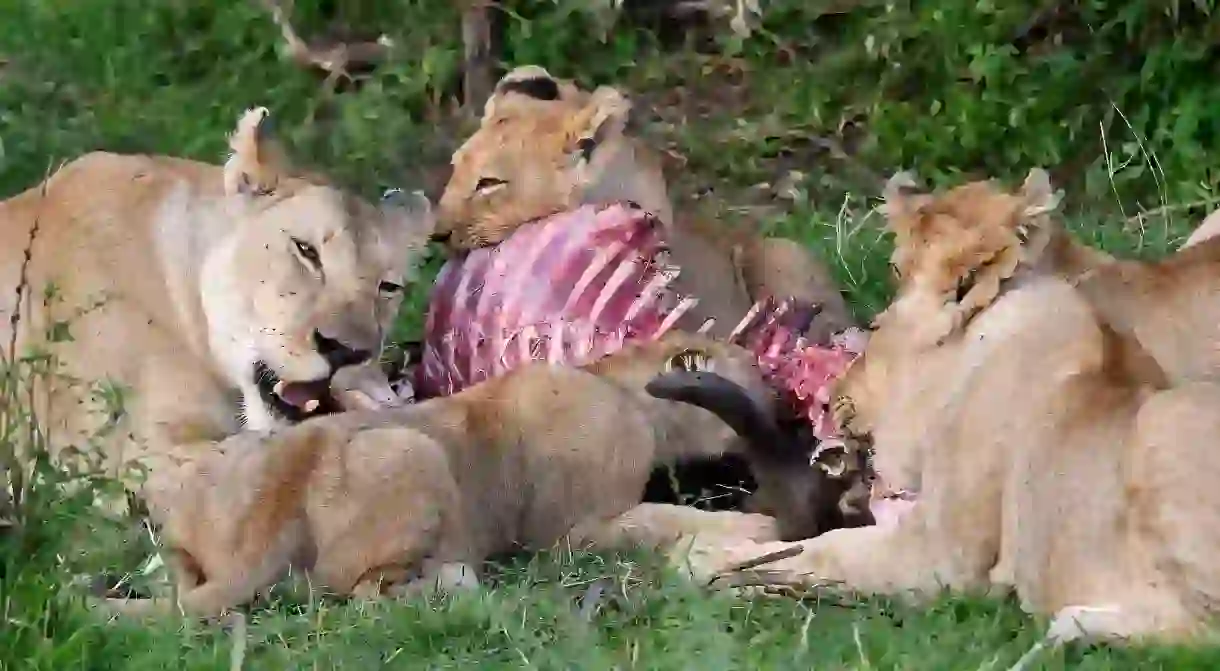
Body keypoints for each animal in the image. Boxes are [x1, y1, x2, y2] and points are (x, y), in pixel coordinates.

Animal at [95, 331, 854, 619]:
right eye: (758, 373)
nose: (791, 409)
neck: (617, 382)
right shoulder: (578, 530)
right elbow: (668, 518)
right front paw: (747, 531)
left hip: (212, 471)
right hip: (413, 453)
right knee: (358, 593)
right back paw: (459, 583)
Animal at [673, 170, 1220, 649]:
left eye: (875, 328)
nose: (832, 397)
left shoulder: (940, 557)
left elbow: (824, 550)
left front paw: (702, 557)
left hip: (1161, 423)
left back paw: (1077, 626)